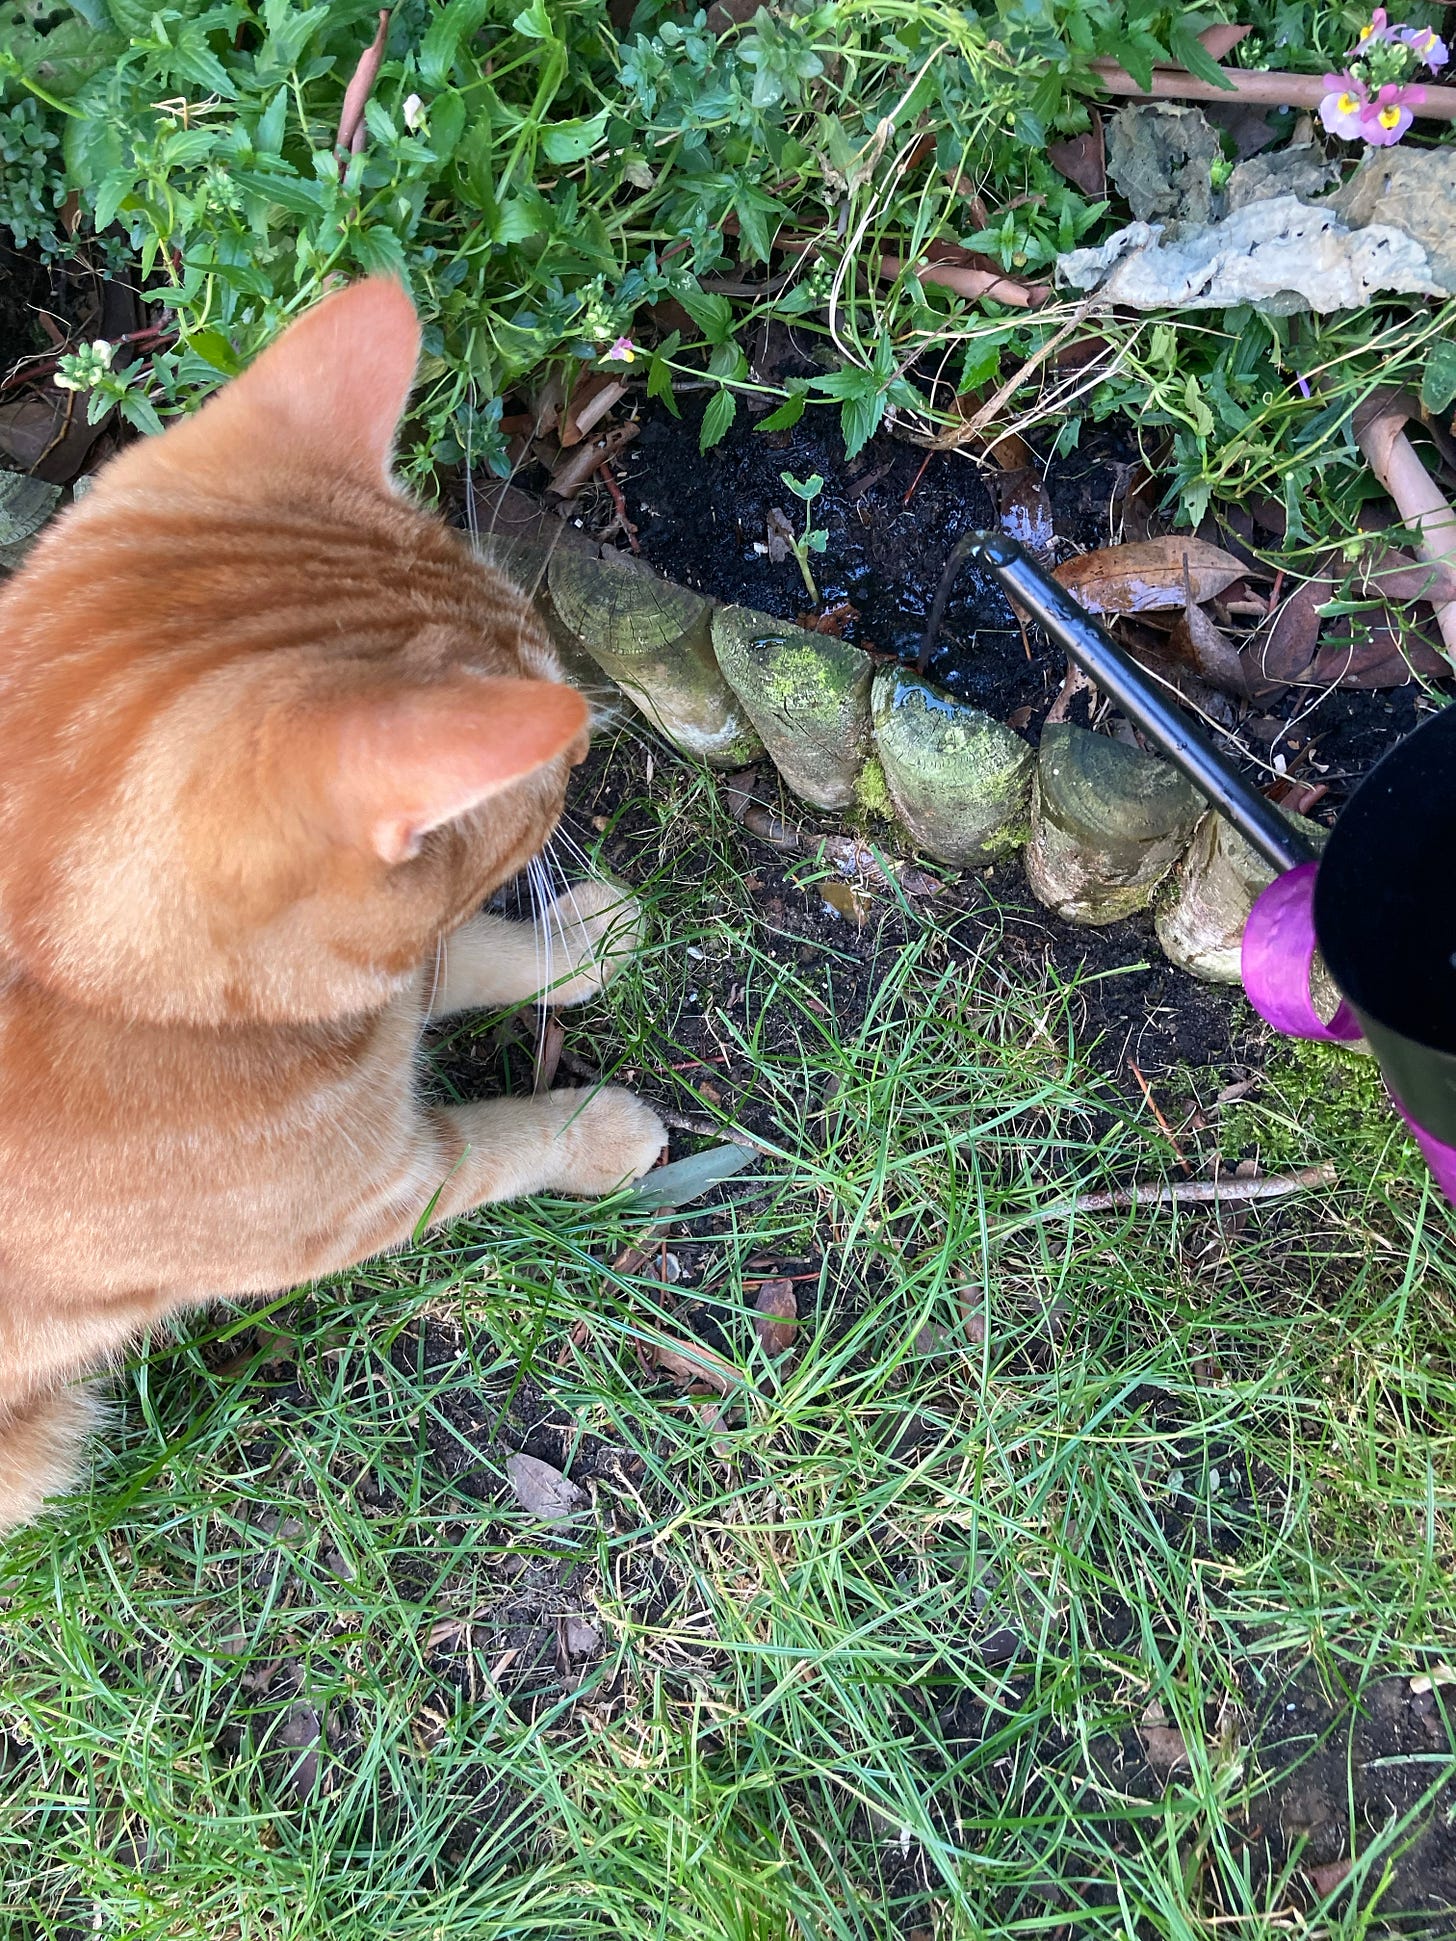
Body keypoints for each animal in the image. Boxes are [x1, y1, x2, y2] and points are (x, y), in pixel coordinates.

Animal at [0, 277, 667, 1534]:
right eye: (543, 769)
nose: (584, 743)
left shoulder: (382, 985)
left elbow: (460, 956)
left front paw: (579, 938)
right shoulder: (372, 1196)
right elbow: (498, 1141)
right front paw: (599, 1131)